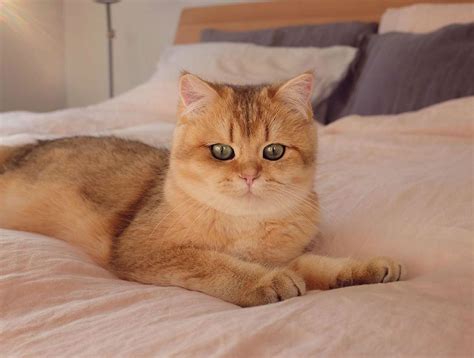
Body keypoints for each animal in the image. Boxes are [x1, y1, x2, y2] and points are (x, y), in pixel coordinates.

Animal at [0, 73, 404, 308]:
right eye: (222, 151)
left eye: (273, 152)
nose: (249, 176)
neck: (246, 225)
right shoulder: (141, 251)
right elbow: (211, 262)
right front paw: (262, 281)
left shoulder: (288, 254)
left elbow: (316, 264)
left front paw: (363, 267)